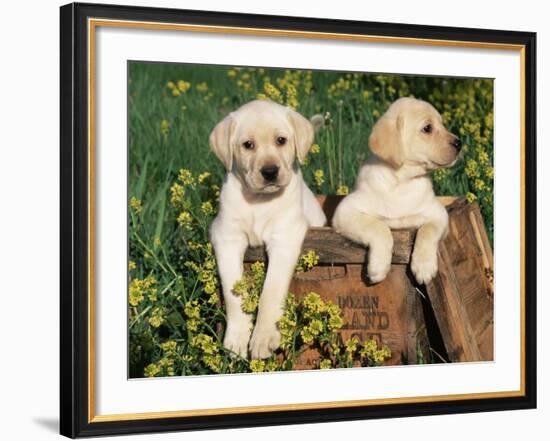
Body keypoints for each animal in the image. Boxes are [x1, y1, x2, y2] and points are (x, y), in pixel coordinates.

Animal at [209, 99, 326, 358]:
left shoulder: (284, 238)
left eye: (281, 140)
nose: (270, 171)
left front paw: (263, 338)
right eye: (248, 145)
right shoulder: (226, 238)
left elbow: (270, 292)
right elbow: (234, 294)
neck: (258, 201)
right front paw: (237, 338)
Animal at [334, 97, 464, 286]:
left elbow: (428, 231)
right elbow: (379, 228)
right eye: (427, 128)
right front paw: (378, 267)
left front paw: (424, 266)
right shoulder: (345, 212)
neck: (402, 182)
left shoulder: (439, 214)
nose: (459, 143)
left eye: (442, 124)